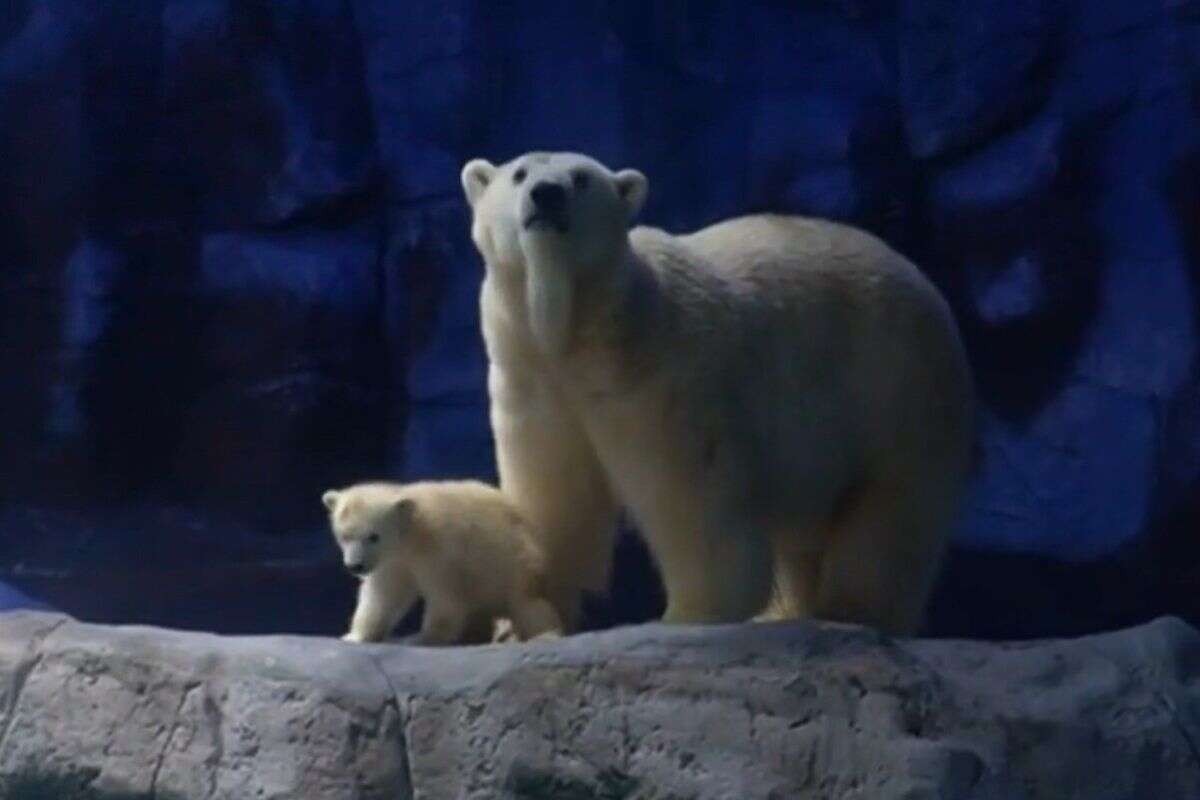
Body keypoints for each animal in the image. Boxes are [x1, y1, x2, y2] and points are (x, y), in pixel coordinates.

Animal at [460, 151, 974, 638]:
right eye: (520, 174)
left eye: (582, 178)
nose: (547, 194)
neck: (583, 332)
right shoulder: (536, 379)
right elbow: (553, 497)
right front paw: (522, 619)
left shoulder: (662, 374)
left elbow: (688, 492)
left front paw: (690, 613)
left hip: (895, 388)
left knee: (888, 516)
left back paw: (849, 610)